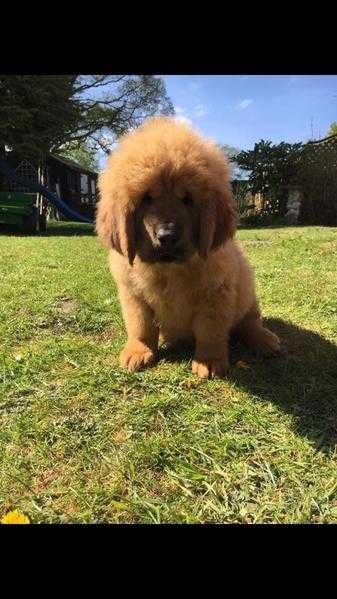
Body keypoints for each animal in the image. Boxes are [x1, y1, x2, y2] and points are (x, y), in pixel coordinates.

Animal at [94, 117, 278, 380]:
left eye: (187, 199)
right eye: (146, 199)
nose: (167, 236)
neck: (169, 269)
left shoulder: (216, 293)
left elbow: (210, 331)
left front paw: (209, 360)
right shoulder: (133, 295)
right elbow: (140, 326)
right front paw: (139, 351)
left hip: (246, 292)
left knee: (250, 322)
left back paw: (264, 340)